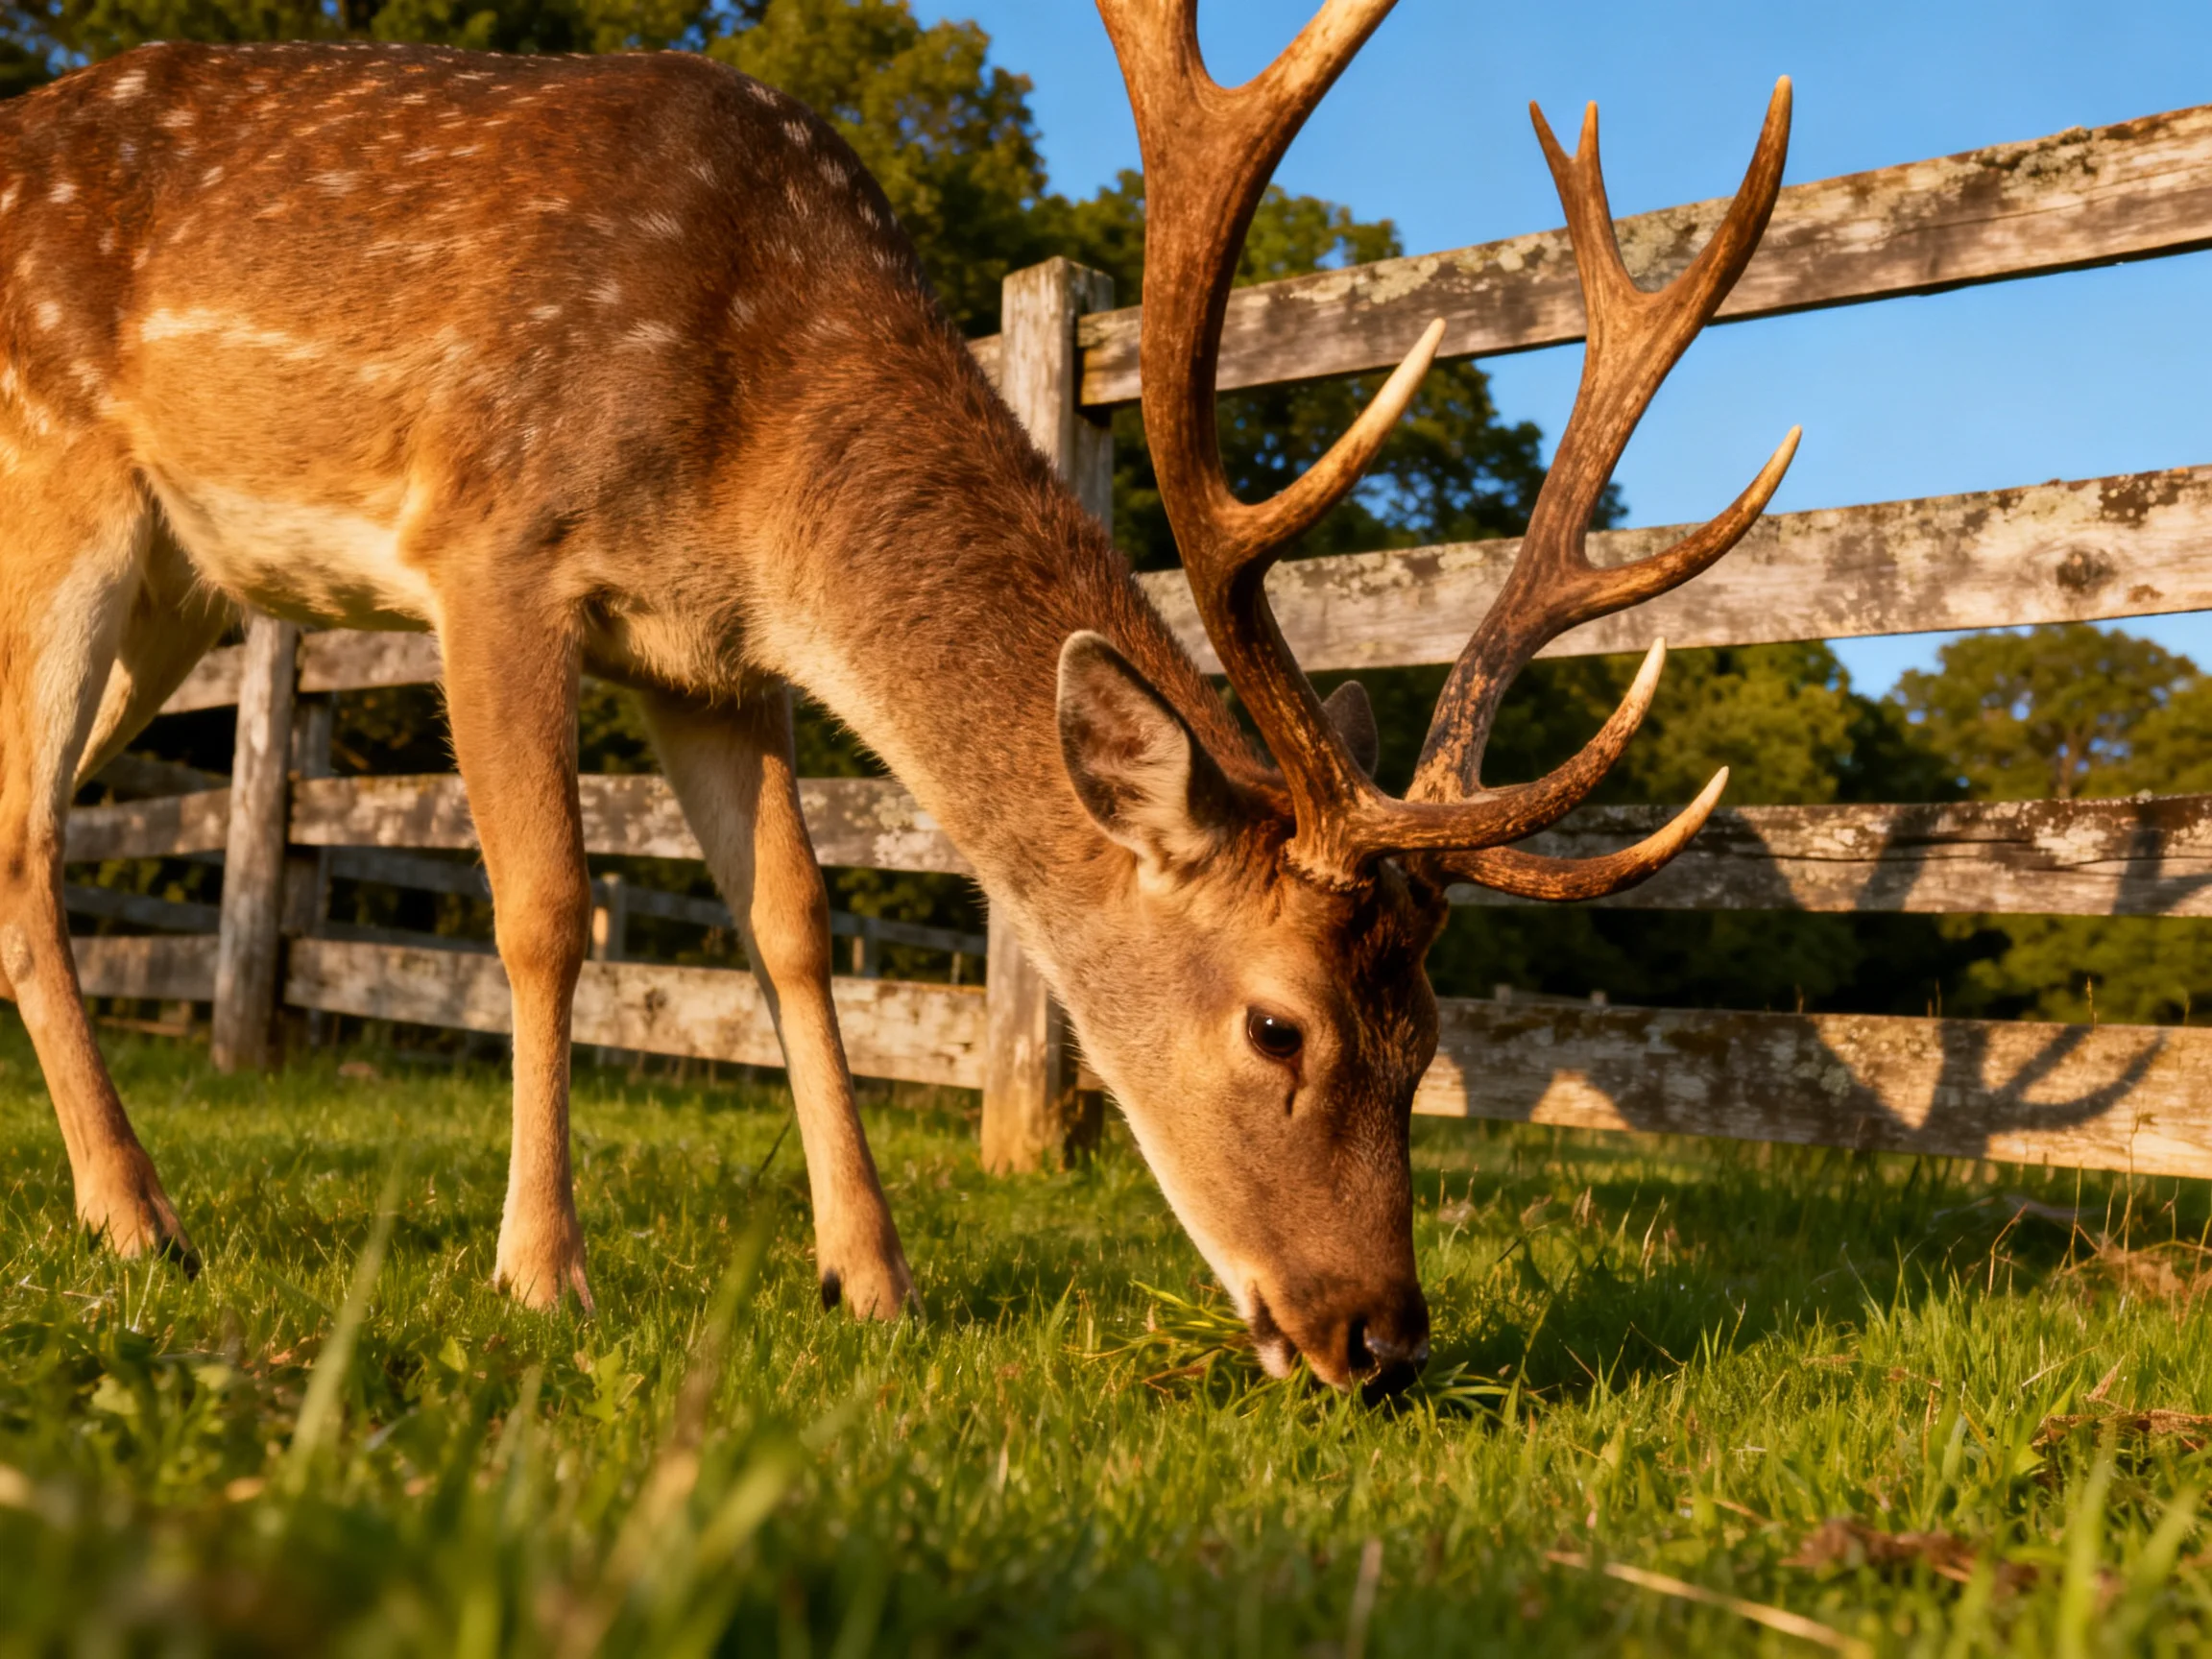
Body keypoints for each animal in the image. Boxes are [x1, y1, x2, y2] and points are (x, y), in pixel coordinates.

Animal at [0, 0, 1796, 1392]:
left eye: (1427, 1035)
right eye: (1275, 1022)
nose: (1377, 1338)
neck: (754, 457)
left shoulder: (706, 659)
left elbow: (792, 923)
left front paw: (872, 1275)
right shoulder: (491, 544)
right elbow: (547, 908)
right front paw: (543, 1268)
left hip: (174, 590)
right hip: (64, 494)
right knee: (29, 850)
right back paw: (137, 1215)